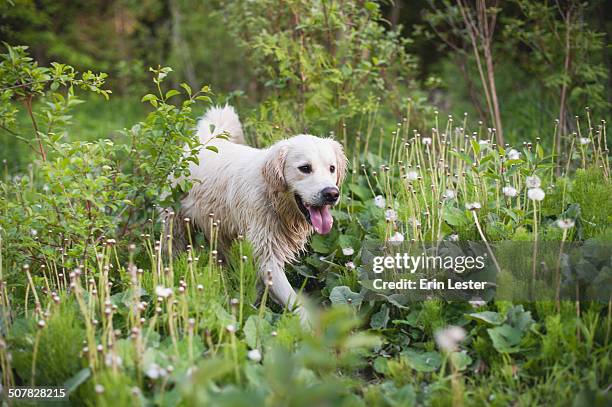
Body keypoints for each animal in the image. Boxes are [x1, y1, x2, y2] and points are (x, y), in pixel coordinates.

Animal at [170, 106, 346, 326]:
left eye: (332, 168)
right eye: (305, 168)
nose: (331, 193)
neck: (273, 197)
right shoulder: (267, 256)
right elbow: (295, 302)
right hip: (175, 225)